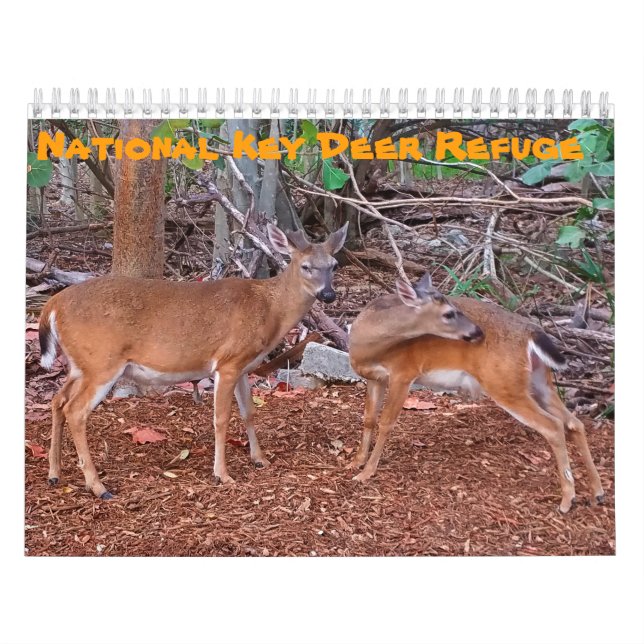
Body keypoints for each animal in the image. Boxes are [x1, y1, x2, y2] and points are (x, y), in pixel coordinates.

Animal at [38, 223, 348, 499]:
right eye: (306, 266)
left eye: (334, 265)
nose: (328, 294)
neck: (270, 309)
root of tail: (52, 305)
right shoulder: (228, 361)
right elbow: (221, 418)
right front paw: (222, 475)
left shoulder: (244, 366)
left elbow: (249, 412)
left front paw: (260, 459)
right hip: (102, 361)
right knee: (76, 411)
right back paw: (98, 486)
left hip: (80, 364)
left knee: (58, 400)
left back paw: (54, 473)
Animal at [348, 273, 604, 514]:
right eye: (449, 313)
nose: (477, 332)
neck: (368, 344)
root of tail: (531, 332)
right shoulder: (376, 378)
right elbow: (369, 418)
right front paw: (356, 461)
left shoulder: (403, 373)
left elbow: (386, 422)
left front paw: (367, 472)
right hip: (539, 381)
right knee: (574, 423)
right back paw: (597, 493)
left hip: (504, 382)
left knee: (553, 426)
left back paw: (568, 499)